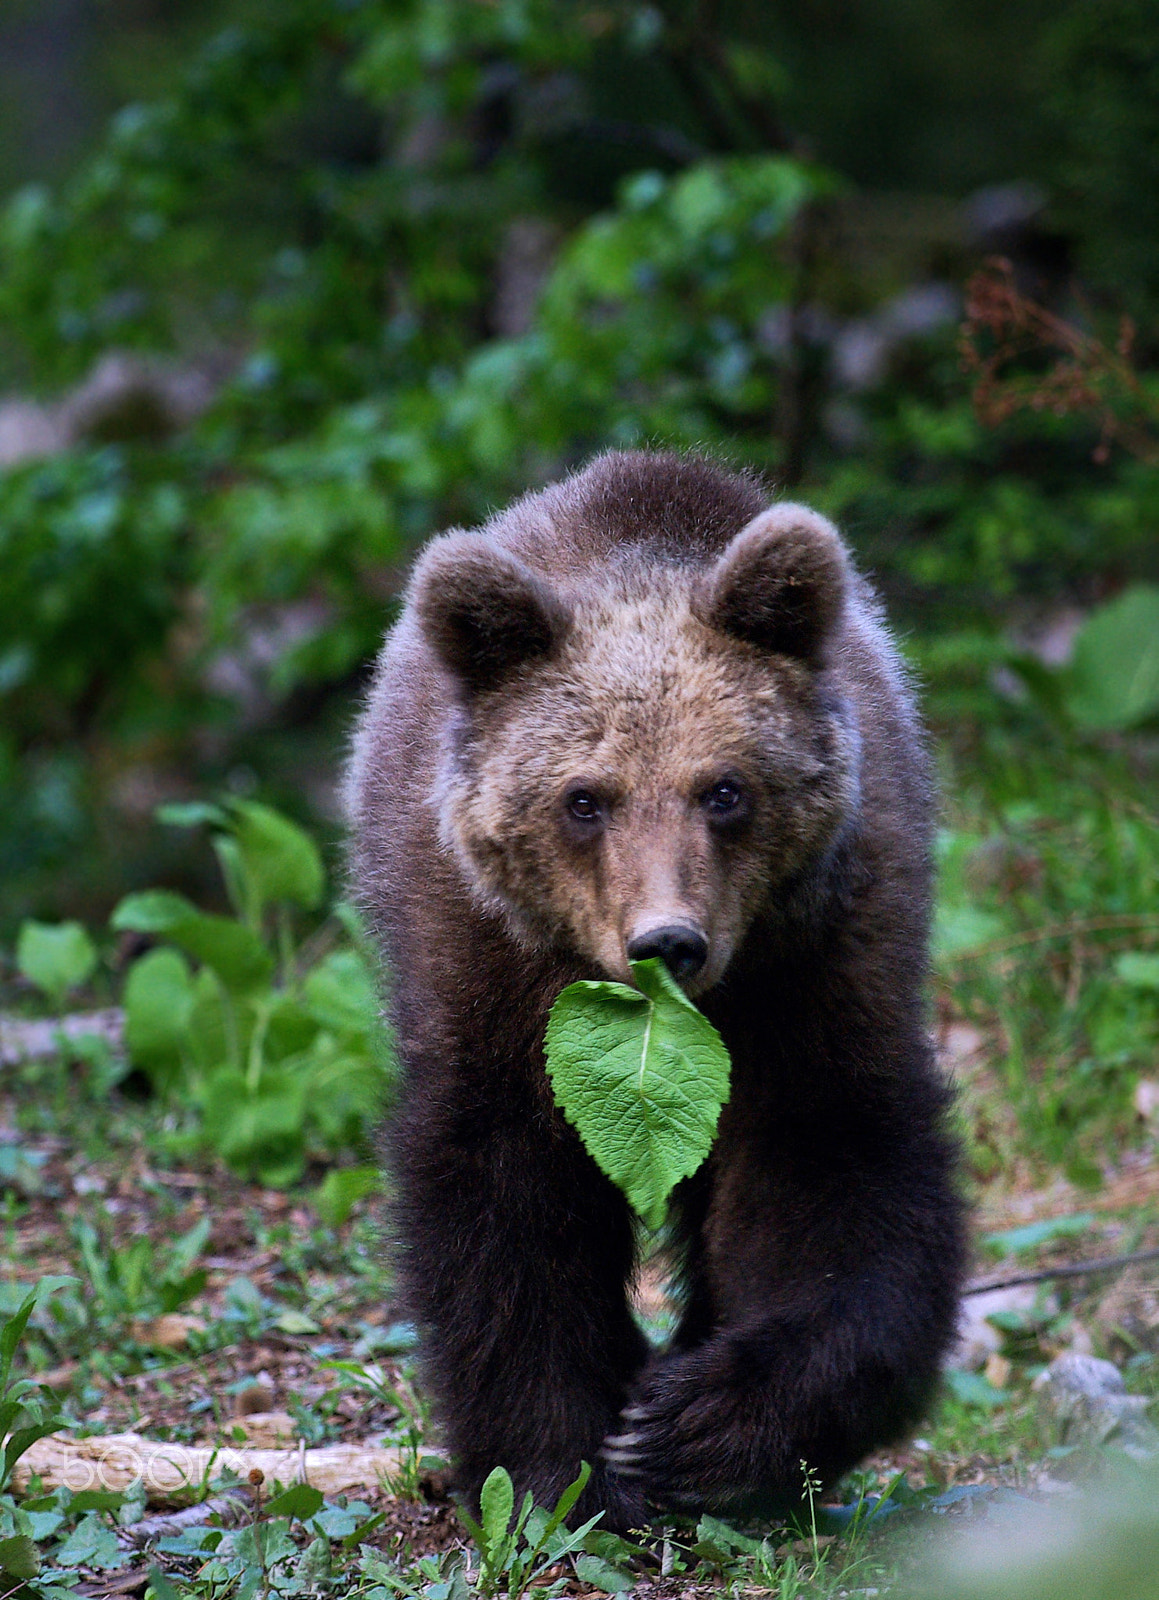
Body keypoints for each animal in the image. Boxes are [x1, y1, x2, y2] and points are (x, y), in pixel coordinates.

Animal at [348, 448, 966, 1523]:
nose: (666, 942)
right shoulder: (487, 967)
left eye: (724, 788)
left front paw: (698, 1427)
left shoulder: (816, 960)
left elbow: (833, 1177)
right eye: (582, 798)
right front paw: (560, 1465)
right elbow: (504, 1205)